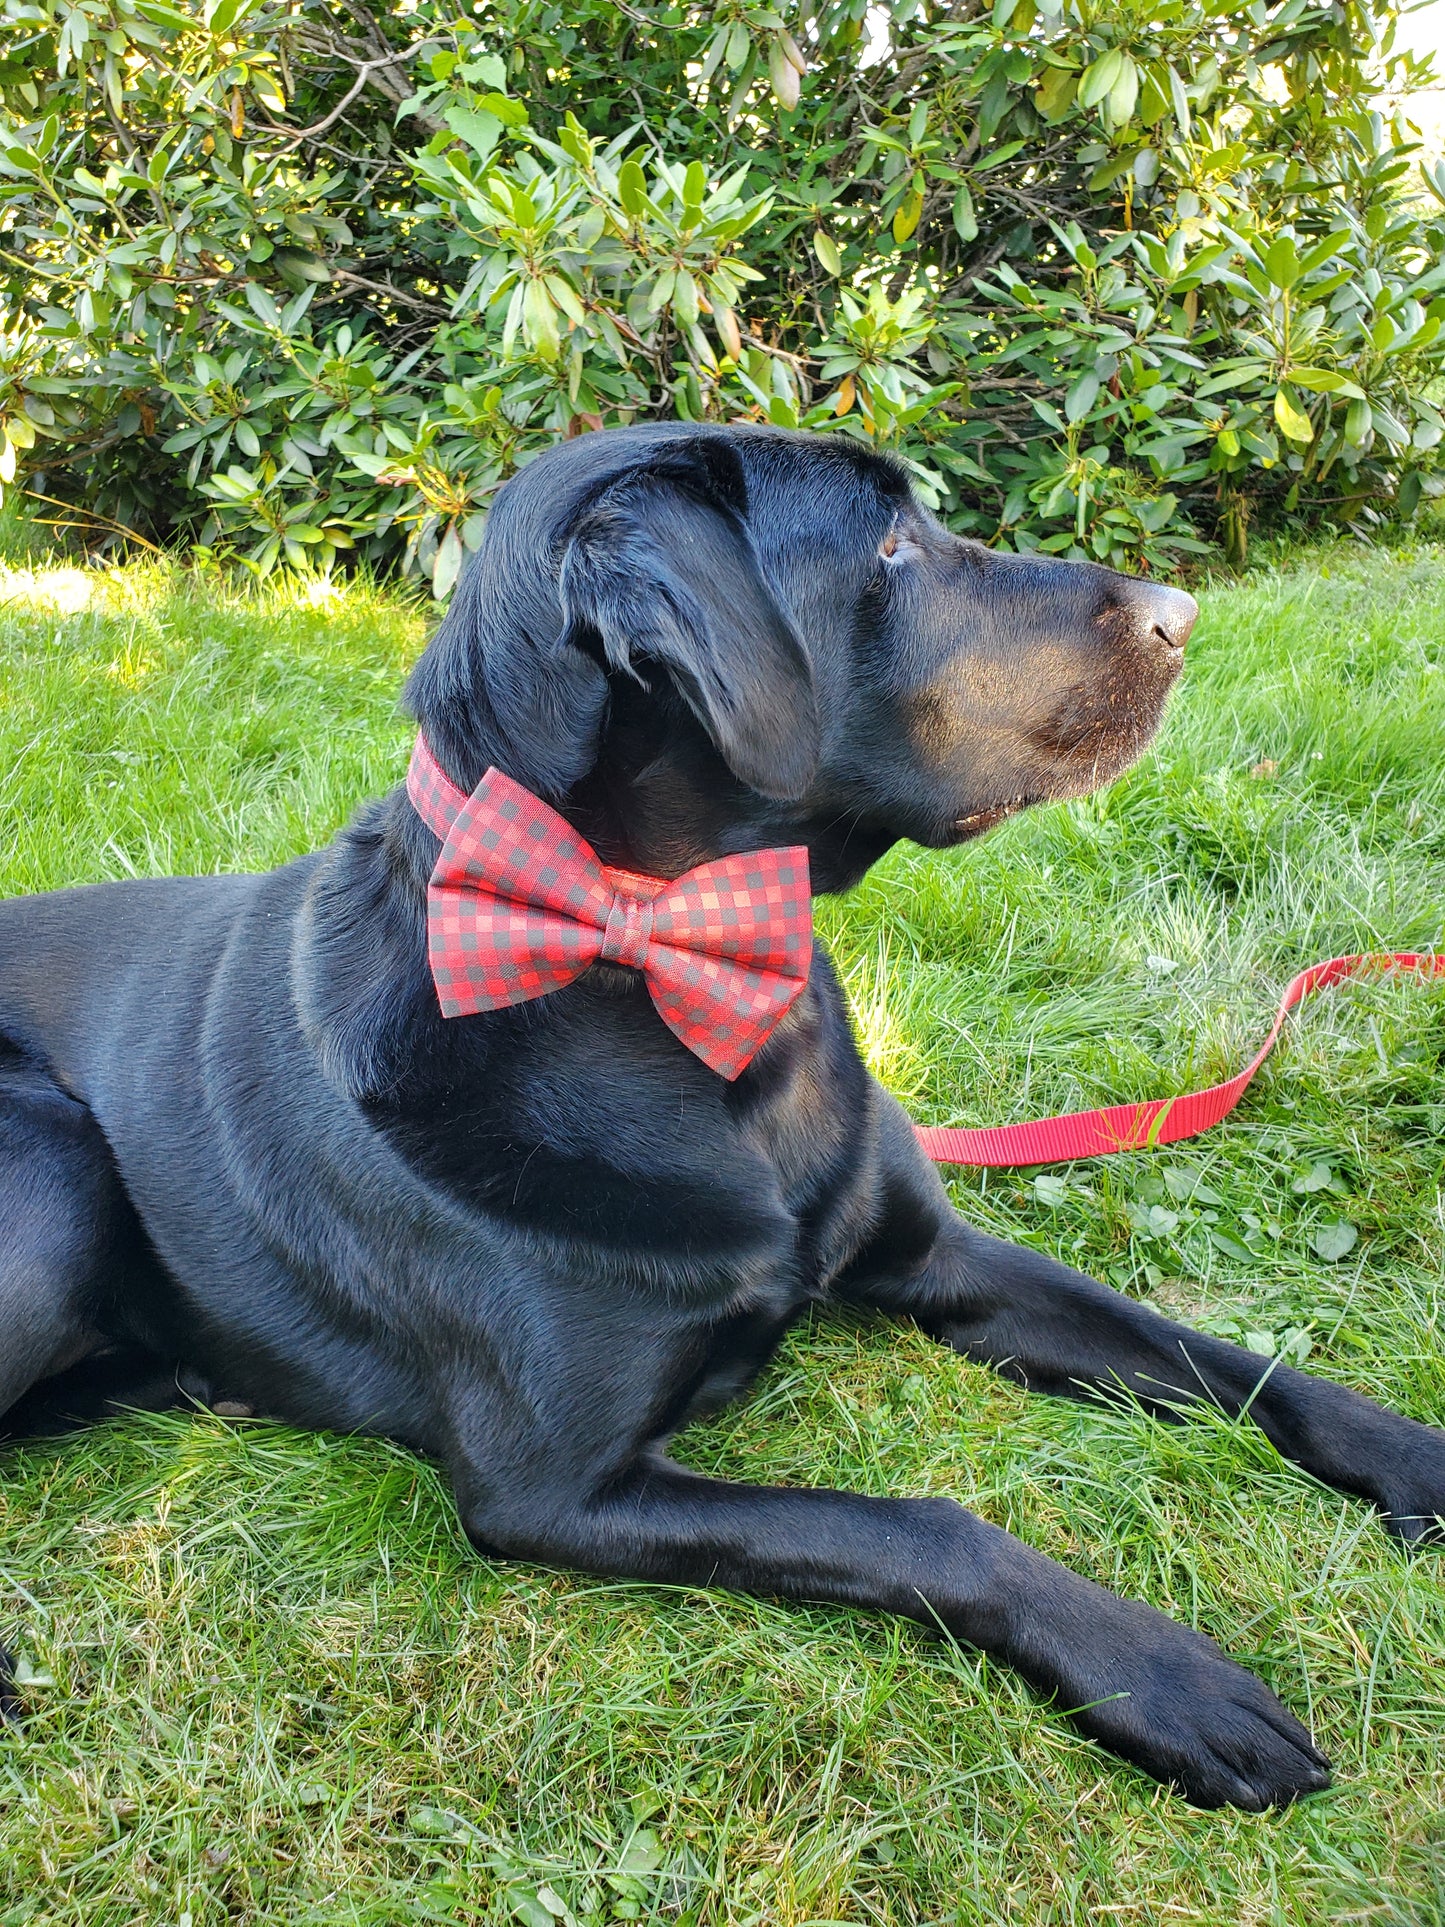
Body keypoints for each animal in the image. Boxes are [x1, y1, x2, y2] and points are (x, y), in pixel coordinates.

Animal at [2, 422, 1445, 1803]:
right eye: (888, 549)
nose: (1179, 613)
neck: (686, 979)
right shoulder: (555, 1490)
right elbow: (928, 1523)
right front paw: (1166, 1676)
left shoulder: (938, 1255)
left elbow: (1220, 1356)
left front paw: (1418, 1457)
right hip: (51, 1162)